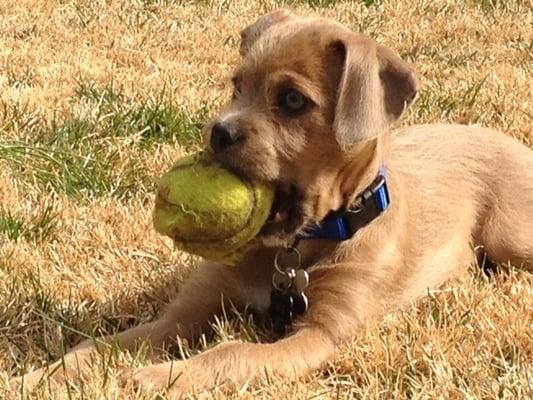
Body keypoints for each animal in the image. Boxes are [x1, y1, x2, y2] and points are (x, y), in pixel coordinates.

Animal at [14, 9, 528, 396]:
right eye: (236, 87)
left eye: (293, 100)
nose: (218, 132)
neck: (290, 251)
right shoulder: (183, 313)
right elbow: (104, 344)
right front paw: (42, 375)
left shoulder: (319, 335)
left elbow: (231, 352)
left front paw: (159, 377)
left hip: (510, 240)